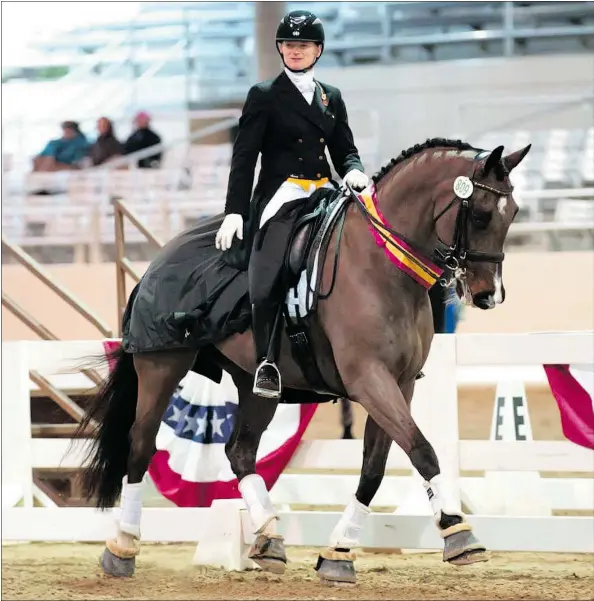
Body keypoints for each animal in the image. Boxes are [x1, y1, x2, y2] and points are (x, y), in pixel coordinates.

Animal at [71, 138, 528, 584]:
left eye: (514, 213)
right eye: (482, 215)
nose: (490, 295)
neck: (381, 266)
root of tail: (158, 259)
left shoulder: (399, 382)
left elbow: (374, 468)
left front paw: (339, 553)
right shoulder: (370, 379)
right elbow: (422, 449)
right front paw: (458, 532)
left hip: (255, 383)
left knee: (239, 451)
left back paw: (268, 539)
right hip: (162, 365)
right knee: (140, 446)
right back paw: (122, 549)